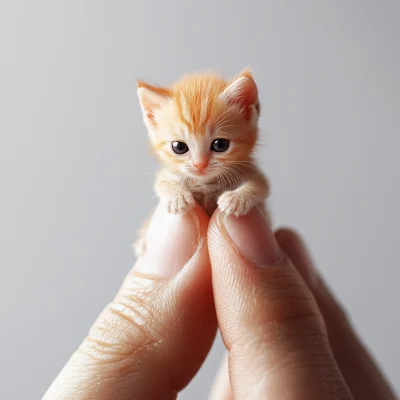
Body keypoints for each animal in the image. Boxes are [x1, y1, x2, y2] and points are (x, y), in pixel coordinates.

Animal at [136, 69, 270, 256]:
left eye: (220, 145)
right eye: (179, 147)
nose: (200, 165)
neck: (206, 183)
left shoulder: (252, 171)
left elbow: (259, 185)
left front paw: (237, 199)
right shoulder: (167, 173)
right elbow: (162, 183)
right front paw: (177, 197)